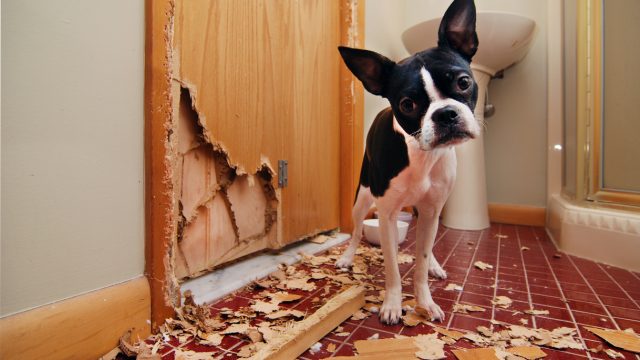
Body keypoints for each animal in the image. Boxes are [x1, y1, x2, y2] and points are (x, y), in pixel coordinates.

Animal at [336, 0, 480, 324]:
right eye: (407, 104)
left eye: (463, 82)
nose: (445, 114)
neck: (421, 155)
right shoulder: (387, 215)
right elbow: (392, 268)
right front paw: (392, 304)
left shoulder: (430, 210)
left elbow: (421, 261)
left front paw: (425, 302)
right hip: (361, 199)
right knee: (355, 231)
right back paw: (348, 256)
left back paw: (436, 265)